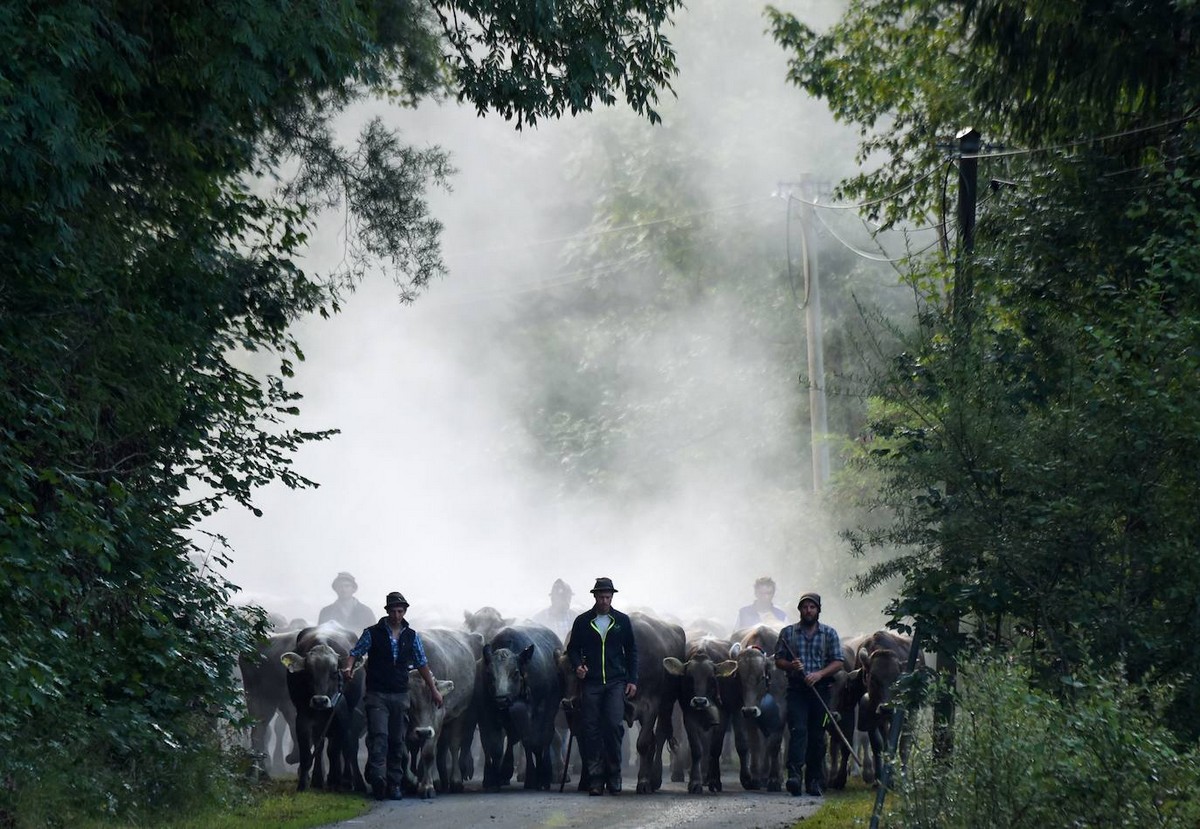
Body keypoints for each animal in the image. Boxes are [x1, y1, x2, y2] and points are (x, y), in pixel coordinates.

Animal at [280, 623, 364, 791]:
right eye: (308, 672)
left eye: (334, 672)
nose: (320, 701)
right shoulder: (302, 717)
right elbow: (307, 753)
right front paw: (303, 785)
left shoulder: (340, 716)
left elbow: (334, 751)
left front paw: (334, 781)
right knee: (319, 746)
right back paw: (317, 781)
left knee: (346, 747)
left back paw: (346, 780)